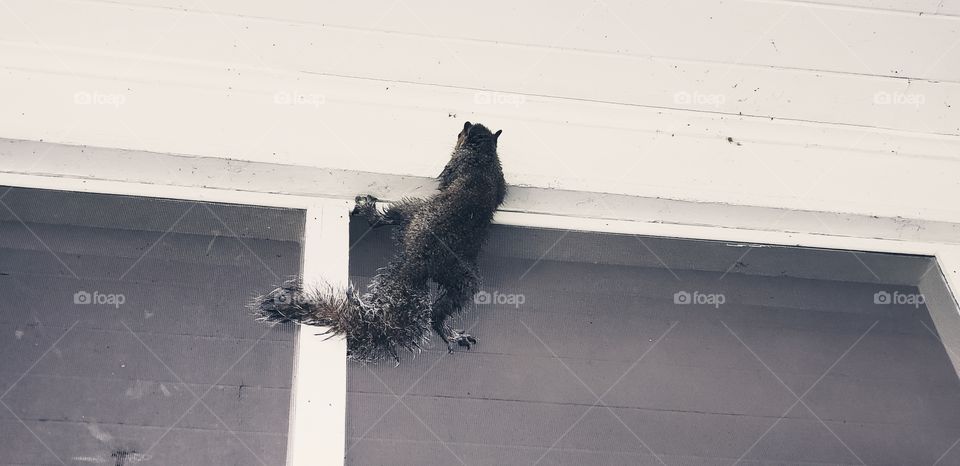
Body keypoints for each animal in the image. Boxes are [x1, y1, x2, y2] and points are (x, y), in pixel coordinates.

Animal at [251, 121, 507, 363]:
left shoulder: (461, 165)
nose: (462, 130)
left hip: (416, 214)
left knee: (386, 220)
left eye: (461, 133)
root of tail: (419, 262)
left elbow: (447, 176)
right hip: (458, 274)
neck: (482, 154)